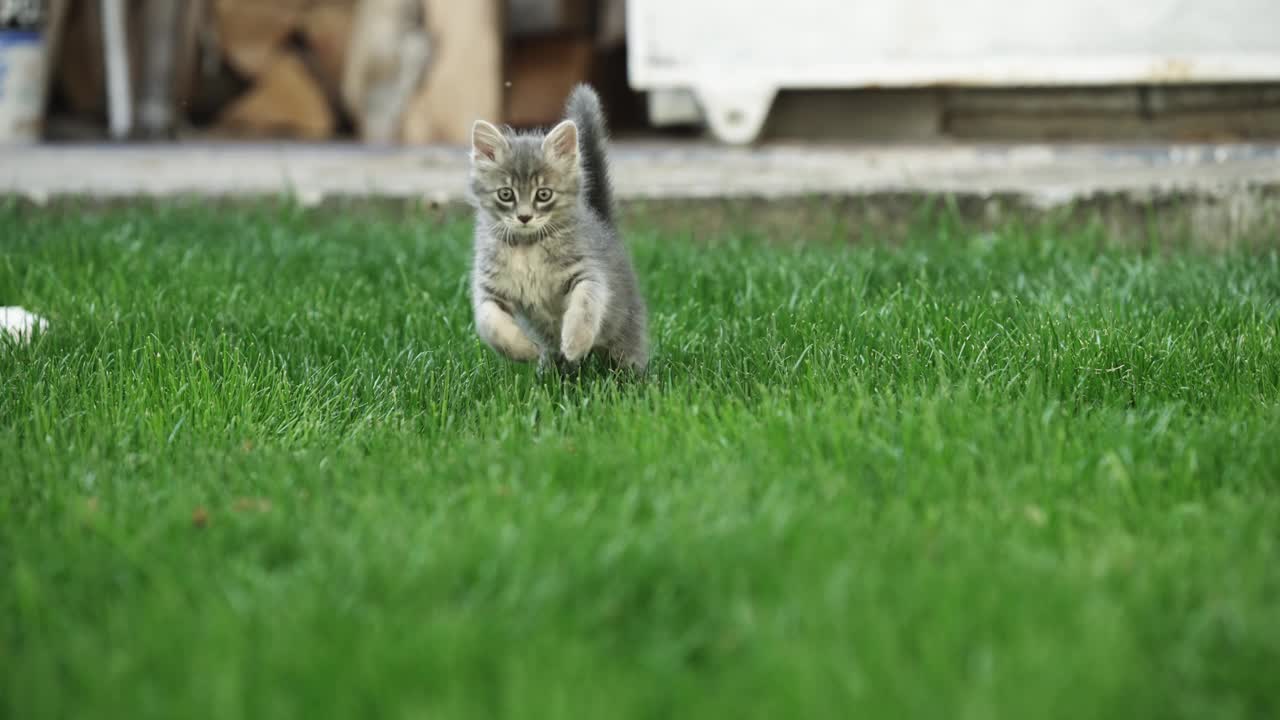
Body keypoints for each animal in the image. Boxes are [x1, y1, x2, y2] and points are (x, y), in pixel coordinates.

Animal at [468, 84, 650, 371]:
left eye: (543, 194)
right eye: (506, 194)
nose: (524, 217)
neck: (527, 247)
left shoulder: (587, 272)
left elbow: (585, 304)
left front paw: (575, 343)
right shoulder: (489, 289)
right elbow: (490, 323)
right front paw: (523, 350)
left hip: (626, 328)